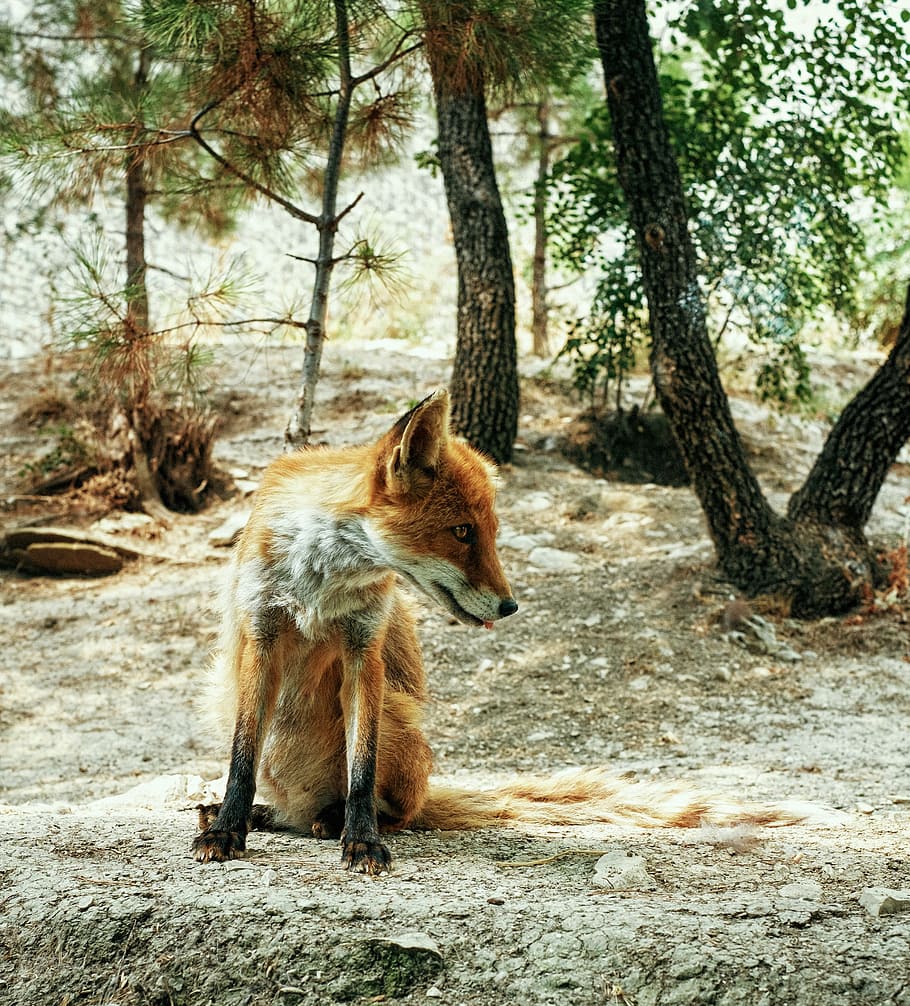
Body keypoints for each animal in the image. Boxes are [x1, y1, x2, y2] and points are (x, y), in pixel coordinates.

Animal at [193, 390, 817, 875]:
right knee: (281, 790)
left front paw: (362, 840)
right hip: (230, 695)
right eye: (463, 531)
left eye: (490, 532)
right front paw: (227, 829)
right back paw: (265, 815)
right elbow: (242, 758)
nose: (510, 605)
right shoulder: (261, 635)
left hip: (396, 715)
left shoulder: (363, 648)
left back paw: (335, 820)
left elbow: (361, 771)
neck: (320, 582)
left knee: (396, 809)